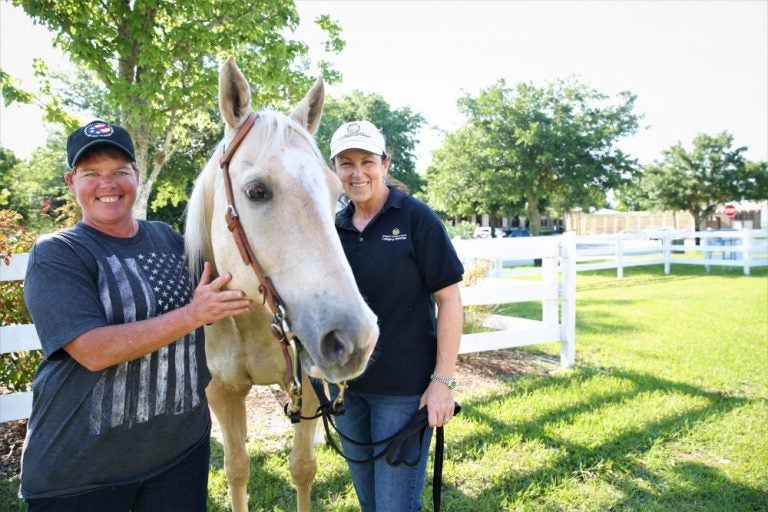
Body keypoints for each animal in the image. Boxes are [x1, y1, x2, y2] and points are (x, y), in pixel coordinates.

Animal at [186, 58, 378, 512]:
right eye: (256, 191)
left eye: (337, 190)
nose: (354, 338)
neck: (252, 323)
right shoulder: (222, 392)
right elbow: (237, 470)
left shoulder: (307, 385)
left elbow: (302, 468)